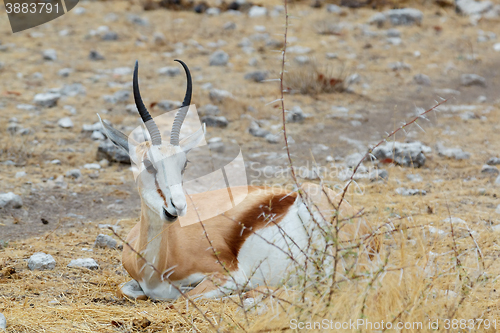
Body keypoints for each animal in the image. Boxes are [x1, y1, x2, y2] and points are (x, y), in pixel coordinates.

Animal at [98, 59, 378, 300]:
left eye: (184, 163)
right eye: (148, 164)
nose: (176, 206)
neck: (157, 263)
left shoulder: (230, 275)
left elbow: (182, 298)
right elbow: (129, 289)